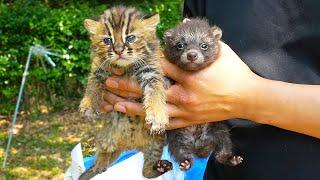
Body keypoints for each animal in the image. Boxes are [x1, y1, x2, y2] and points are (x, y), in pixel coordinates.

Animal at [78, 6, 172, 179]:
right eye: (107, 40)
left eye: (130, 38)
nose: (119, 51)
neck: (126, 67)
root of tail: (130, 144)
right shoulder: (99, 70)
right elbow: (92, 85)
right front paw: (88, 104)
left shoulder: (151, 72)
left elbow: (156, 91)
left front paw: (157, 115)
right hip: (105, 138)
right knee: (102, 158)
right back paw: (97, 167)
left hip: (156, 142)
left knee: (146, 171)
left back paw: (160, 167)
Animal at [164, 18, 244, 170]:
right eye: (180, 45)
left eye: (204, 45)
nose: (192, 55)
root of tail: (198, 145)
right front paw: (165, 80)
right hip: (177, 136)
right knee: (180, 151)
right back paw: (185, 162)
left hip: (220, 131)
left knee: (222, 152)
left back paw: (231, 159)